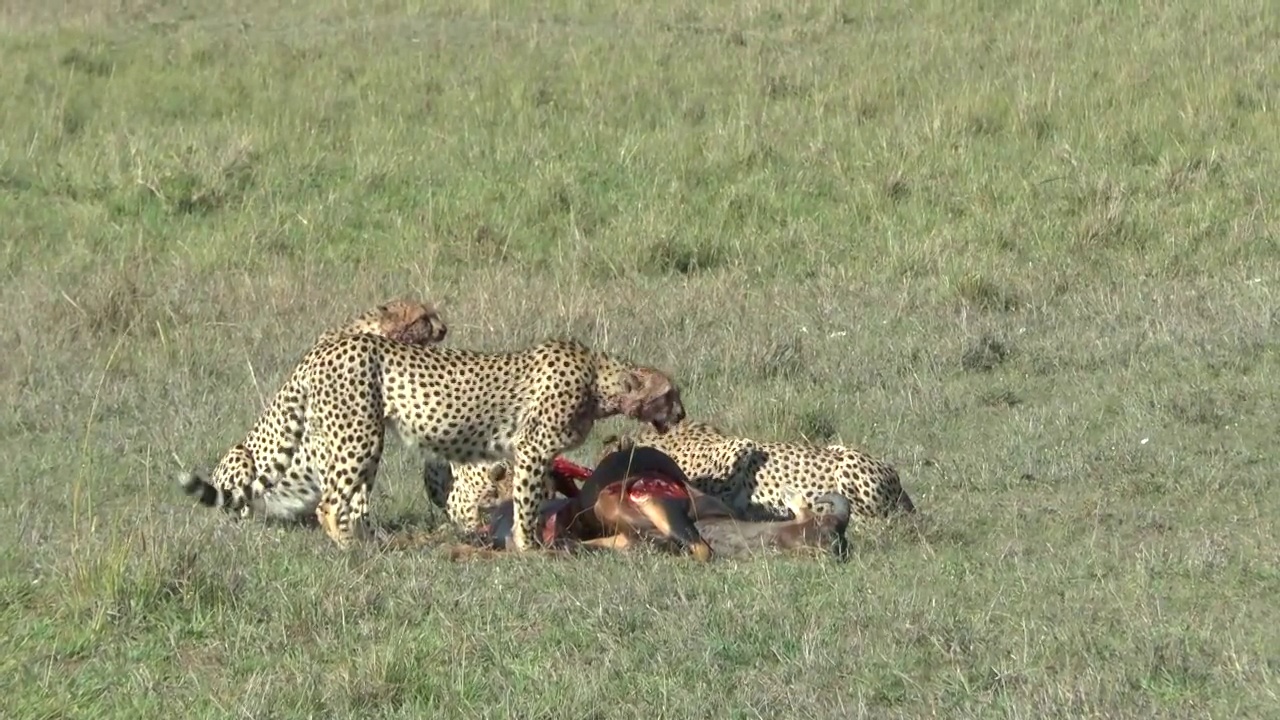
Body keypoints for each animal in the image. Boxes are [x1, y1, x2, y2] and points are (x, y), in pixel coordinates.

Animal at [286, 333, 686, 545]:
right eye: (668, 394)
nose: (682, 414)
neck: (598, 380)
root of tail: (327, 346)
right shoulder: (532, 447)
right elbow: (527, 500)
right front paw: (529, 545)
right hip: (359, 438)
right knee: (330, 504)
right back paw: (349, 546)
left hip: (347, 439)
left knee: (349, 500)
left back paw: (371, 541)